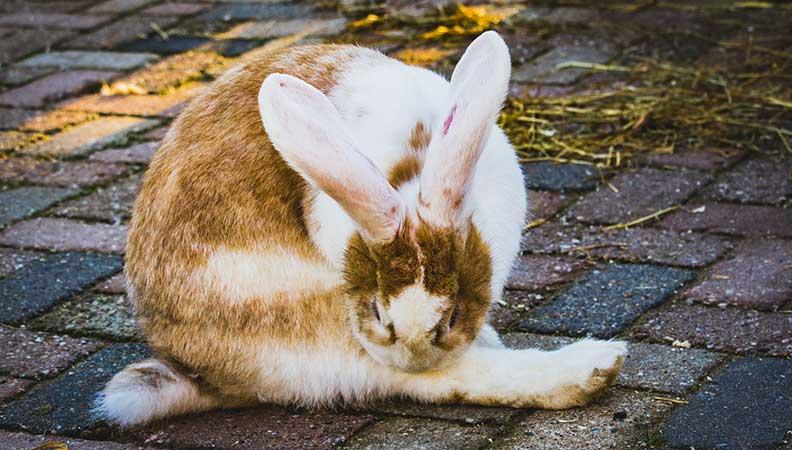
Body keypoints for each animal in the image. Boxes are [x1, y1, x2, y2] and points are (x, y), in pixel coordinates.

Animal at [95, 31, 626, 427]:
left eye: (453, 313)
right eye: (378, 311)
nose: (414, 353)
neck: (408, 176)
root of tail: (200, 373)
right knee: (413, 381)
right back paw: (591, 367)